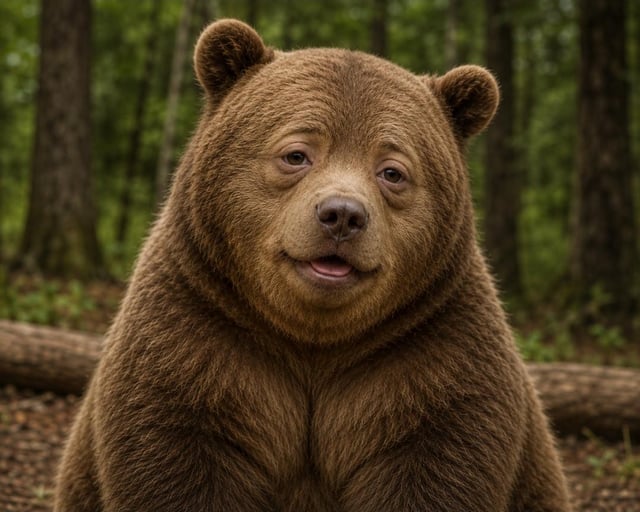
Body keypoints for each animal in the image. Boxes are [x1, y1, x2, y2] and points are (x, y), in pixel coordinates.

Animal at [54, 19, 571, 512]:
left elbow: (439, 464)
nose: (342, 215)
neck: (313, 343)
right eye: (296, 153)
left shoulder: (436, 355)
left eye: (392, 170)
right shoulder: (193, 335)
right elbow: (172, 459)